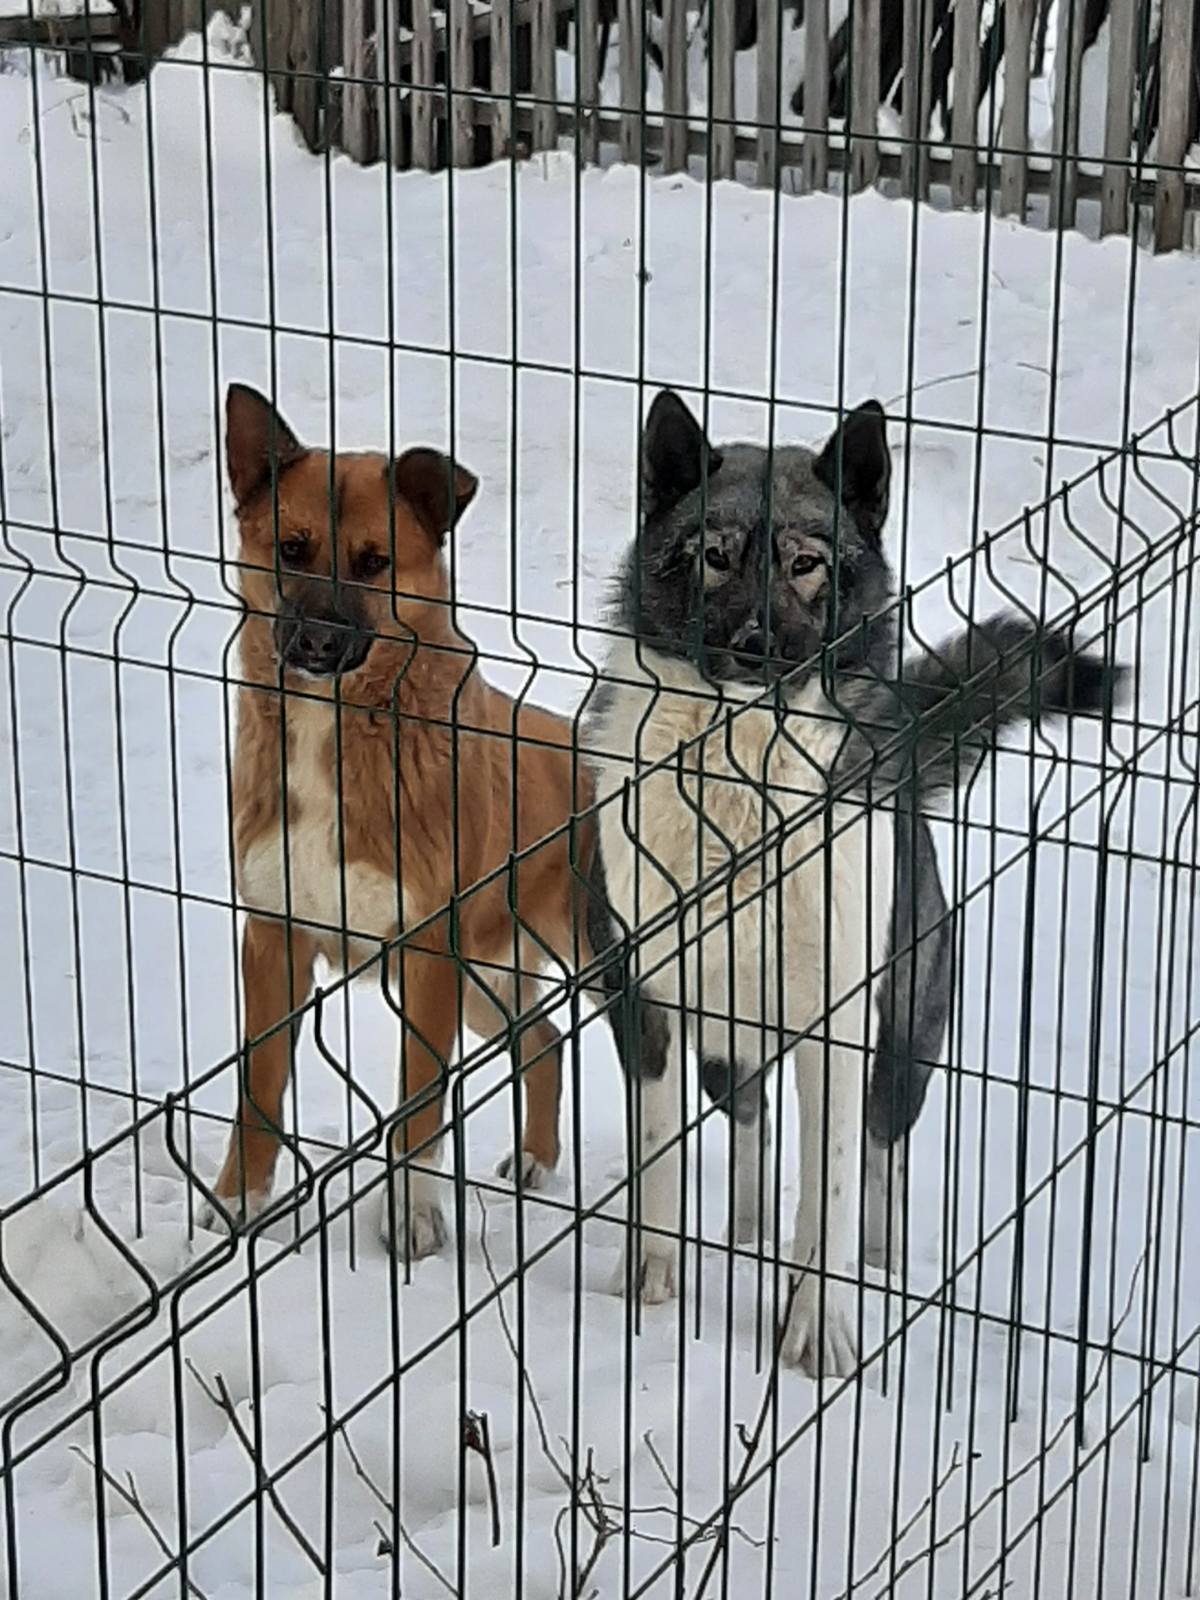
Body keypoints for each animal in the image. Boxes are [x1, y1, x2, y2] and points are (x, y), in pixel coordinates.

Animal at [214, 380, 598, 1254]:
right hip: (488, 972)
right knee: (545, 1039)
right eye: (292, 548)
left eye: (374, 562)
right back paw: (536, 1156)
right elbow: (259, 1088)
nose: (316, 643)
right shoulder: (273, 937)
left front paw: (412, 1215)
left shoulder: (426, 952)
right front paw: (239, 1201)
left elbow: (421, 1101)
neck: (336, 729)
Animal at [588, 384, 1126, 1376]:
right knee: (753, 1123)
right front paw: (647, 1287)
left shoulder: (839, 1023)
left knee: (878, 1159)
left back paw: (877, 1267)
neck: (743, 771)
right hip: (729, 1039)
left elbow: (832, 1191)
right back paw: (750, 1235)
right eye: (712, 555)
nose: (757, 645)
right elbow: (658, 1159)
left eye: (807, 563)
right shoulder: (645, 998)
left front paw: (821, 1330)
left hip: (904, 1039)